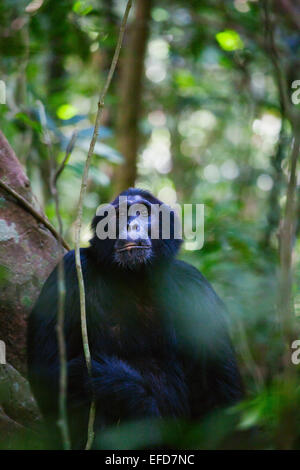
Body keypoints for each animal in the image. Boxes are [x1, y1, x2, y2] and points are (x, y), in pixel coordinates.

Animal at [27, 186, 244, 448]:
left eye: (143, 212)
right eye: (118, 215)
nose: (131, 224)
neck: (135, 277)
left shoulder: (196, 287)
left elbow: (222, 397)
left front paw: (122, 387)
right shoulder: (69, 271)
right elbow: (49, 371)